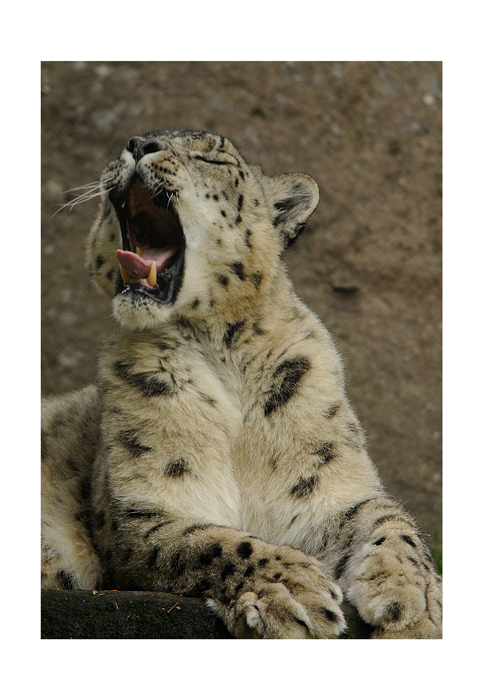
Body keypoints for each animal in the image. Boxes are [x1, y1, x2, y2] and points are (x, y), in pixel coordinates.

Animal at [41, 129, 442, 636]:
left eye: (210, 156)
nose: (137, 143)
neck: (223, 349)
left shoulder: (328, 484)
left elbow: (390, 519)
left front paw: (415, 602)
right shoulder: (141, 506)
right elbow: (211, 542)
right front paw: (295, 589)